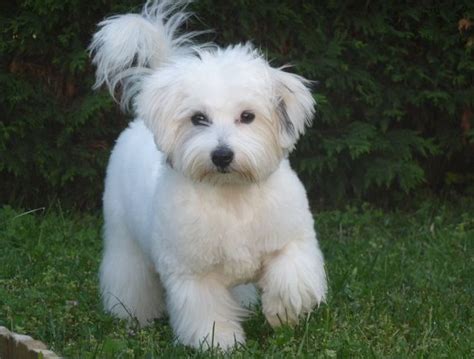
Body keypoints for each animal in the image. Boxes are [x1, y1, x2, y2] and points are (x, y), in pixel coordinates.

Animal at [90, 0, 326, 352]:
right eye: (198, 118)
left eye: (247, 116)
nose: (222, 155)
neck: (232, 195)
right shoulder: (193, 273)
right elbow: (207, 310)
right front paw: (221, 343)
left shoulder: (291, 239)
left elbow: (291, 274)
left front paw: (282, 311)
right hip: (124, 238)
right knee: (129, 275)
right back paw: (132, 315)